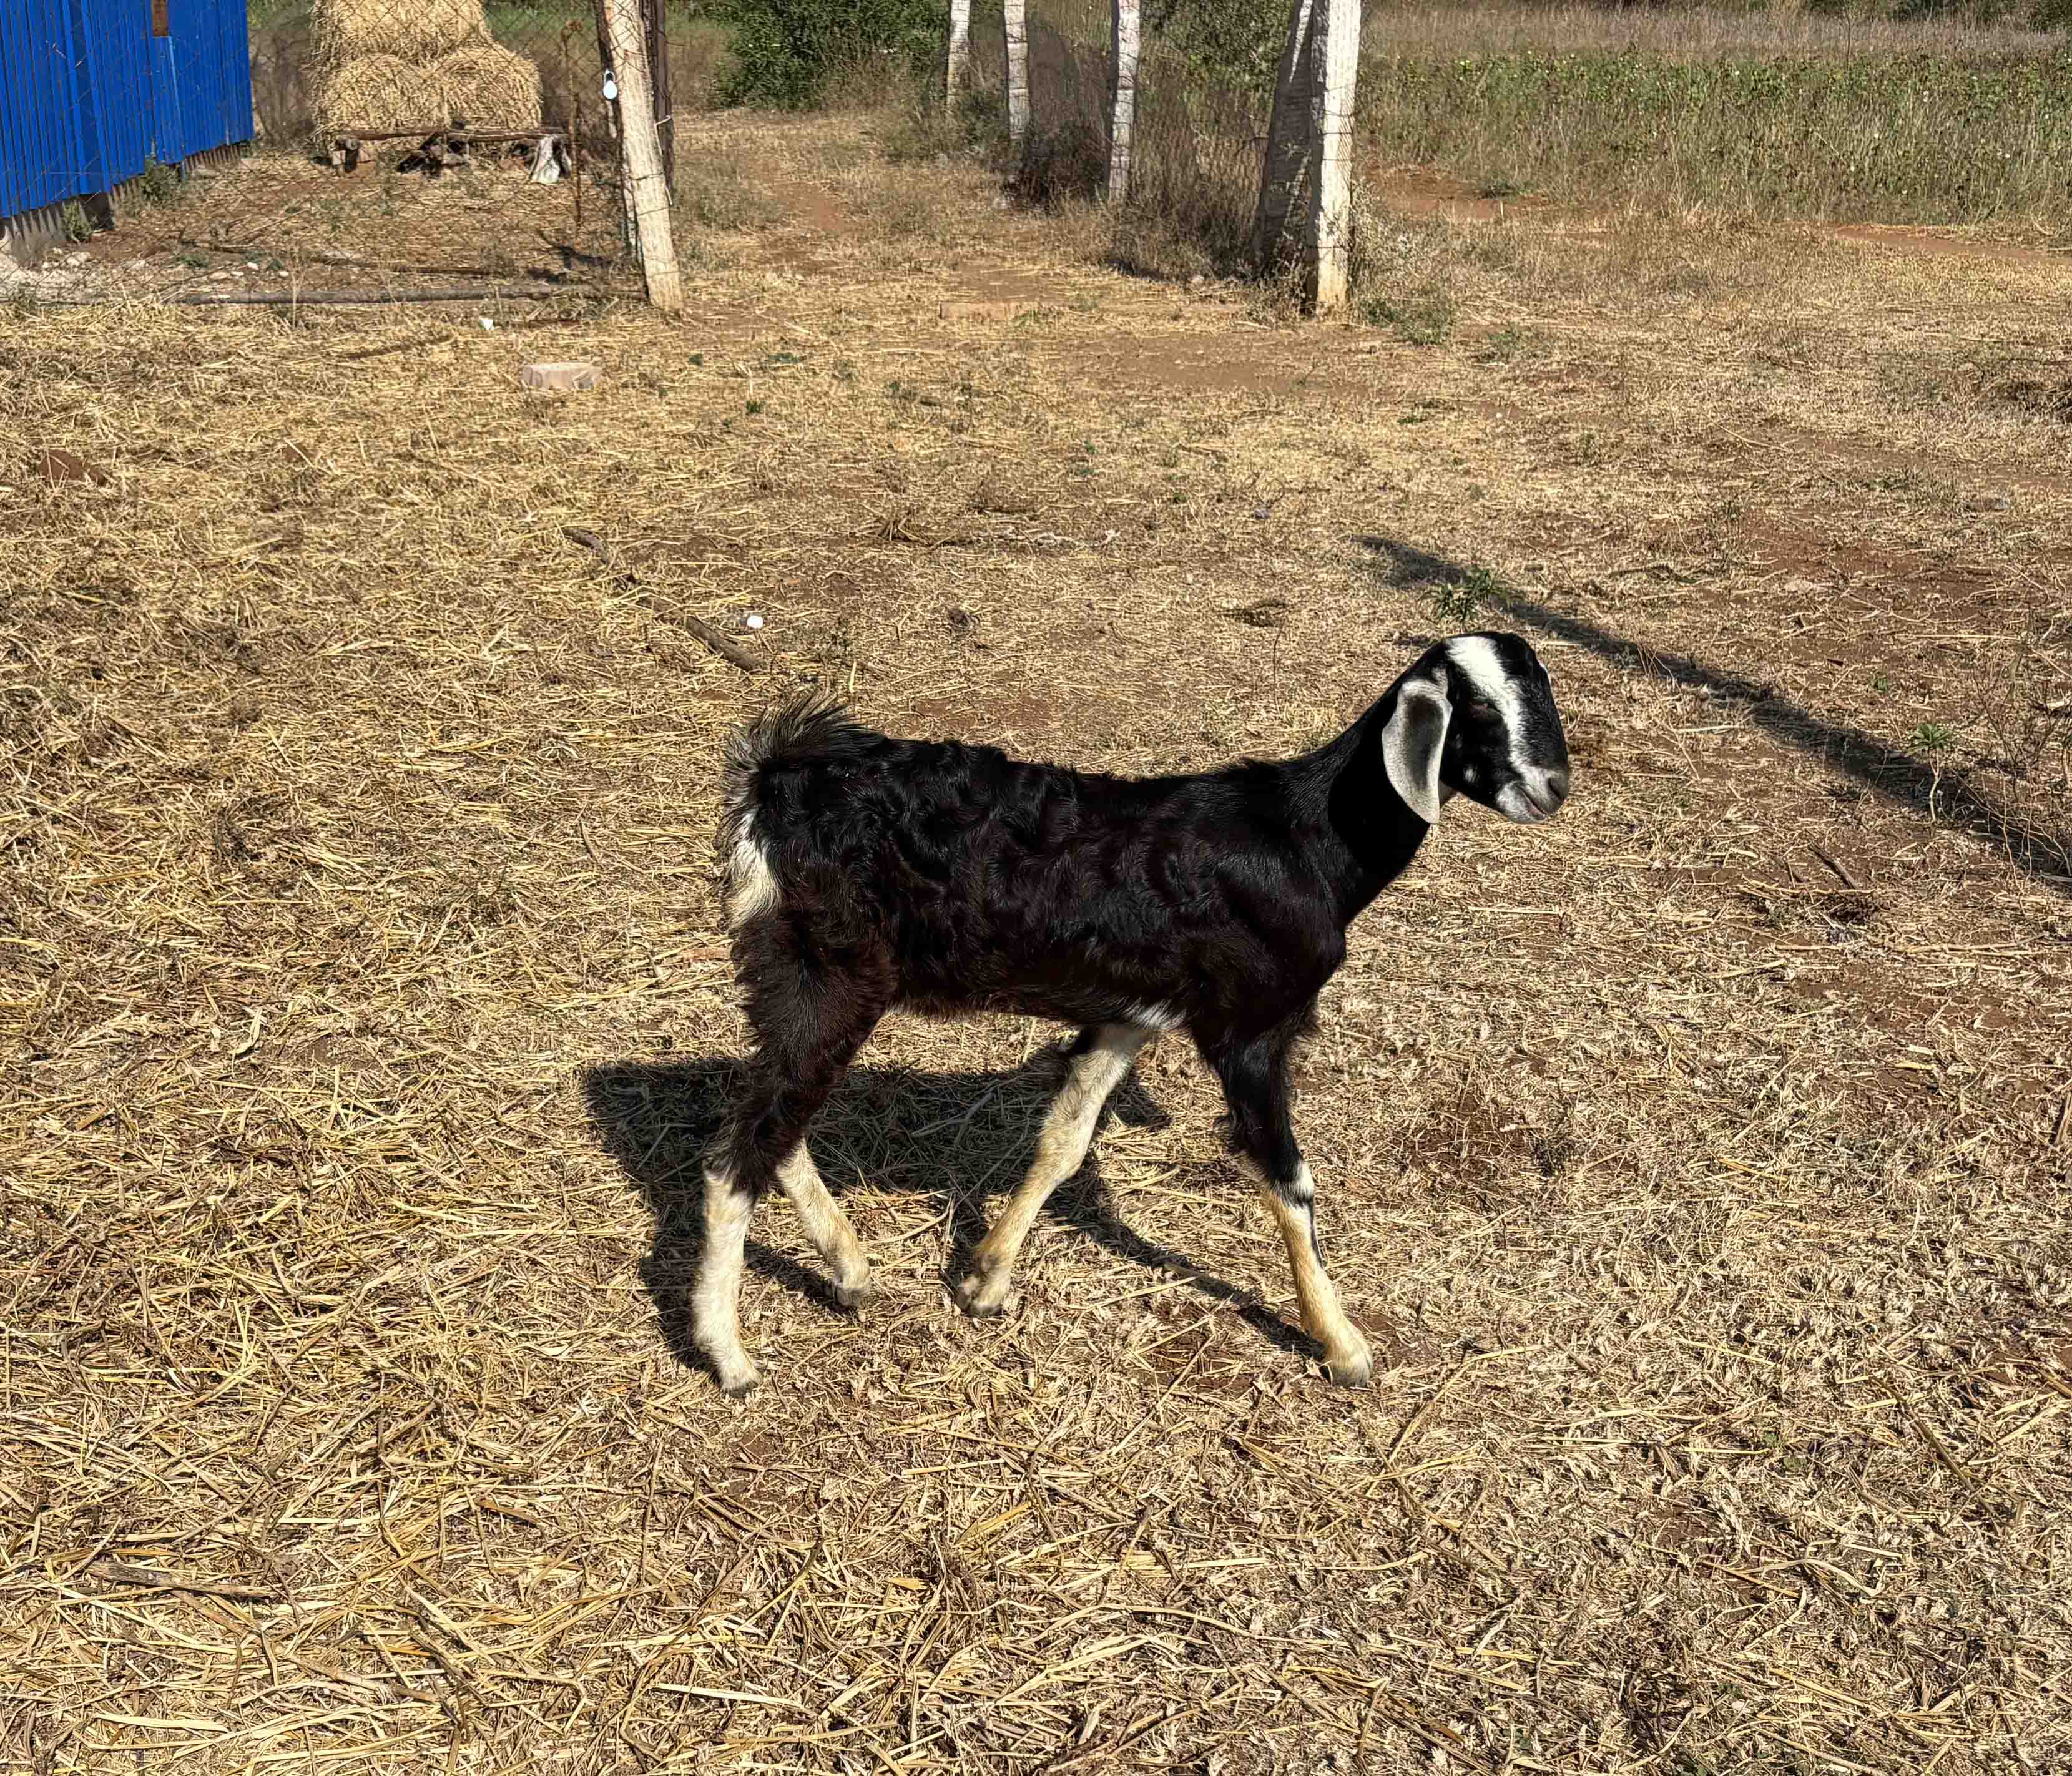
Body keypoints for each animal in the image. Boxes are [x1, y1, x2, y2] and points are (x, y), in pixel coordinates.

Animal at [692, 632, 1572, 1394]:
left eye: (1540, 689)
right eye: (1477, 707)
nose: (1552, 786)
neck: (1307, 841)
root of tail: (775, 782)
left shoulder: (1130, 1018)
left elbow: (1063, 1141)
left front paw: (985, 1278)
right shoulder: (1252, 1031)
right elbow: (1290, 1178)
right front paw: (1343, 1344)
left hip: (804, 984)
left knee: (773, 1120)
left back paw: (849, 1270)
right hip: (828, 978)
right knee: (742, 1145)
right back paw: (728, 1351)